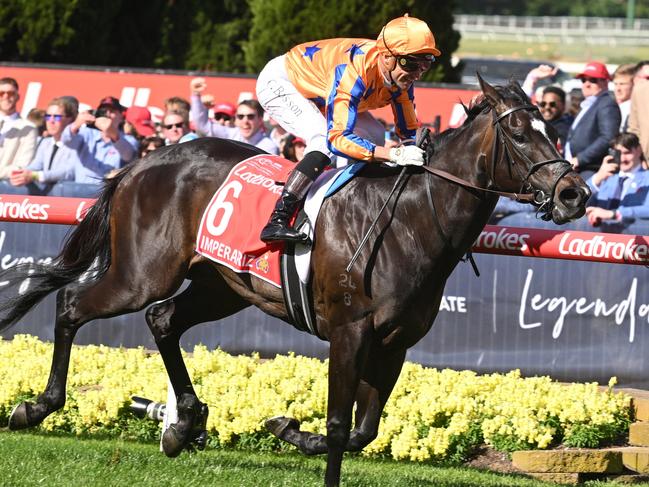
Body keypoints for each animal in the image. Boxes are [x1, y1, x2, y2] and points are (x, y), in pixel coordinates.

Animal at [0, 78, 588, 486]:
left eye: (553, 129)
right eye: (520, 132)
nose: (573, 194)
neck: (411, 221)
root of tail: (143, 163)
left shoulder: (394, 343)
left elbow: (364, 430)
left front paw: (286, 428)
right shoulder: (349, 330)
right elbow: (339, 426)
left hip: (221, 286)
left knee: (162, 318)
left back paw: (183, 423)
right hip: (141, 274)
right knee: (73, 305)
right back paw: (37, 406)